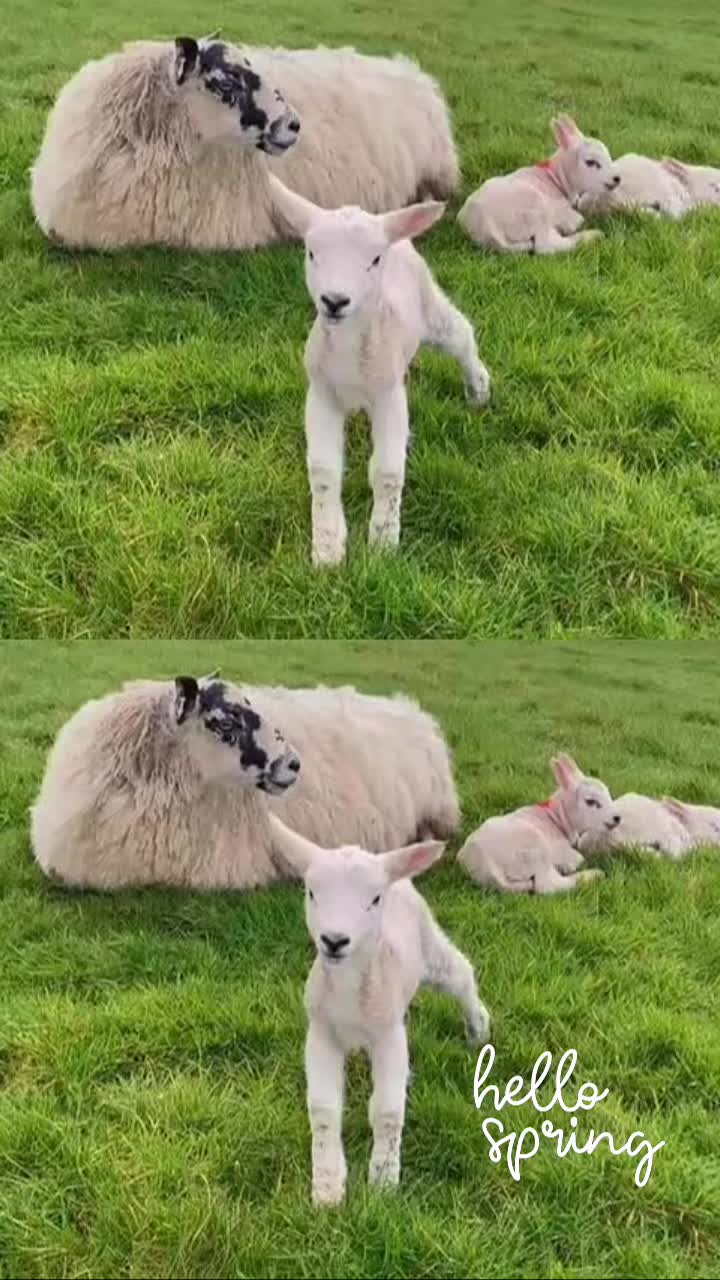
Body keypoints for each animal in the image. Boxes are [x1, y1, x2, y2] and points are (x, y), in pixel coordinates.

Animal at [267, 173, 491, 566]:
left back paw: (478, 388)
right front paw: (327, 548)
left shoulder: (388, 395)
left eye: (373, 260)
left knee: (461, 334)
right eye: (312, 253)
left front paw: (384, 541)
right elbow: (323, 471)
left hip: (430, 310)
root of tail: (397, 235)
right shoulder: (321, 393)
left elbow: (387, 471)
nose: (334, 301)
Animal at [268, 812, 491, 1206]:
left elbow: (387, 1111)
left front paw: (384, 1180)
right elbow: (323, 1111)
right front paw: (327, 1187)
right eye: (311, 893)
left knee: (461, 973)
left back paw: (478, 1028)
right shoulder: (321, 1033)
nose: (334, 941)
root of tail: (396, 875)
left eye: (373, 900)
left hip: (428, 948)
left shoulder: (386, 1037)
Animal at [457, 115, 620, 255]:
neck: (556, 179)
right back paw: (591, 235)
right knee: (545, 246)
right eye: (590, 162)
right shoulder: (561, 211)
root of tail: (486, 228)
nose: (617, 178)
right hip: (535, 207)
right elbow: (576, 219)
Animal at [457, 754, 620, 894]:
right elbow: (578, 858)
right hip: (535, 849)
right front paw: (570, 866)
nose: (617, 817)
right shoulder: (560, 849)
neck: (556, 818)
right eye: (590, 801)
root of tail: (485, 864)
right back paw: (592, 875)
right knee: (548, 885)